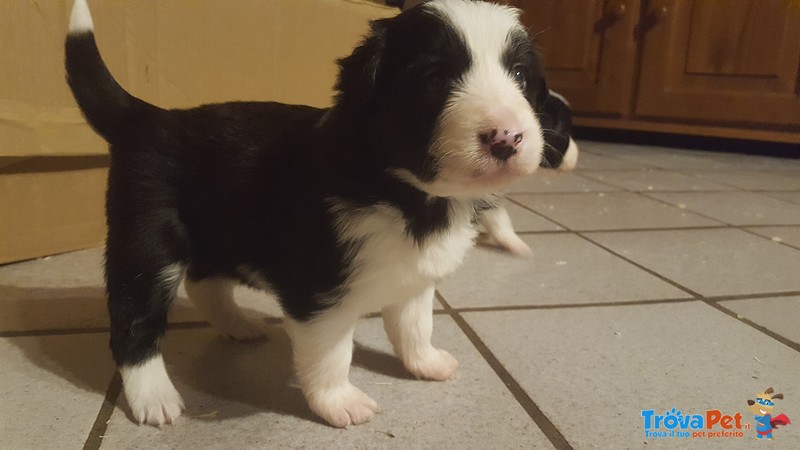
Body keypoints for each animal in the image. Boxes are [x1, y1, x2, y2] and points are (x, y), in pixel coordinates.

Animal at [67, 0, 552, 428]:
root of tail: (149, 117)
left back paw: (238, 325)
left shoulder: (415, 276)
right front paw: (340, 403)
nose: (507, 137)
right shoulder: (320, 293)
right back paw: (154, 397)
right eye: (433, 78)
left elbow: (414, 325)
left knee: (204, 283)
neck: (405, 191)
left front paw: (426, 362)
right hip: (147, 242)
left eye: (520, 75)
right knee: (133, 322)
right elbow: (332, 354)